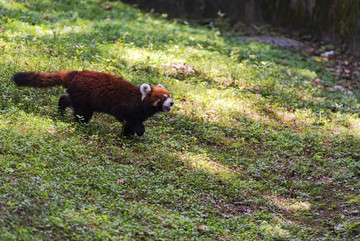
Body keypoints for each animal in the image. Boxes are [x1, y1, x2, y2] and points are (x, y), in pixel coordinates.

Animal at [14, 70, 175, 137]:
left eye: (170, 96)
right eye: (164, 98)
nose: (172, 102)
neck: (141, 101)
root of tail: (75, 73)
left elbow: (130, 124)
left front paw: (127, 136)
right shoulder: (126, 108)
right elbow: (128, 119)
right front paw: (139, 132)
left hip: (79, 94)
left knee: (67, 99)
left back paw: (61, 110)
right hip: (84, 97)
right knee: (83, 114)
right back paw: (81, 125)